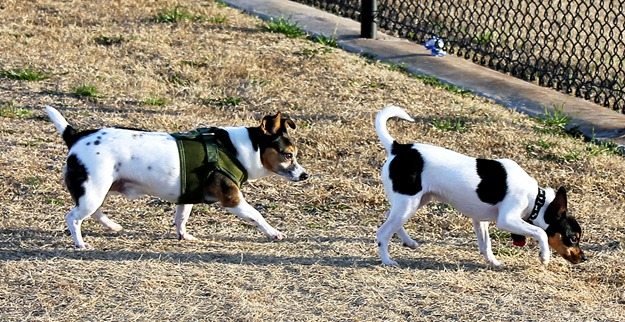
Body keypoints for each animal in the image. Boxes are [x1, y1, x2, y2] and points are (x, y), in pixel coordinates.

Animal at [44, 105, 308, 249]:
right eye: (288, 155)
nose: (305, 175)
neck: (235, 149)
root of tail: (75, 136)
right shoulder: (232, 199)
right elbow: (256, 215)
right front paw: (273, 232)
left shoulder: (187, 196)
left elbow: (181, 218)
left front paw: (184, 236)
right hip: (93, 190)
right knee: (73, 218)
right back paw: (80, 243)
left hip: (97, 190)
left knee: (94, 212)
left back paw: (112, 225)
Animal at [376, 104, 584, 266]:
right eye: (573, 238)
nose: (584, 258)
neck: (536, 200)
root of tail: (398, 148)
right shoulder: (507, 219)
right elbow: (540, 231)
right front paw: (544, 256)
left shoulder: (480, 219)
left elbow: (485, 243)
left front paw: (493, 262)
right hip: (408, 203)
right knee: (383, 233)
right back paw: (387, 260)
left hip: (414, 202)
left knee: (392, 221)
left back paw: (409, 242)